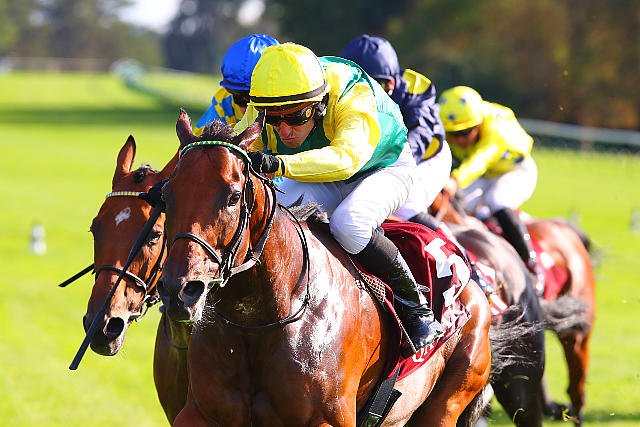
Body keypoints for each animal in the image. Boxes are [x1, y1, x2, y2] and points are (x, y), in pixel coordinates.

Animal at [155, 110, 493, 426]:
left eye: (233, 197)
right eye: (166, 194)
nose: (180, 291)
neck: (263, 319)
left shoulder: (329, 417)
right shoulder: (200, 412)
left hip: (446, 402)